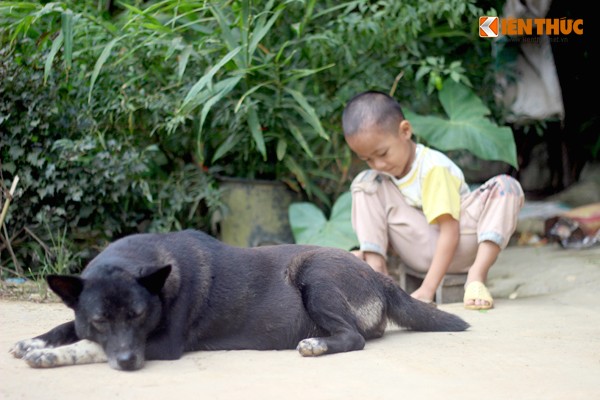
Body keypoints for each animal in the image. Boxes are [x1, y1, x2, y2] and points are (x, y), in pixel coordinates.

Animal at [10, 230, 468, 370]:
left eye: (138, 315)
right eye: (101, 319)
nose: (127, 363)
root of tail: (379, 276)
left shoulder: (162, 344)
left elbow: (85, 346)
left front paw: (50, 355)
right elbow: (68, 327)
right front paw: (35, 340)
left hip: (315, 275)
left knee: (353, 337)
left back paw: (317, 344)